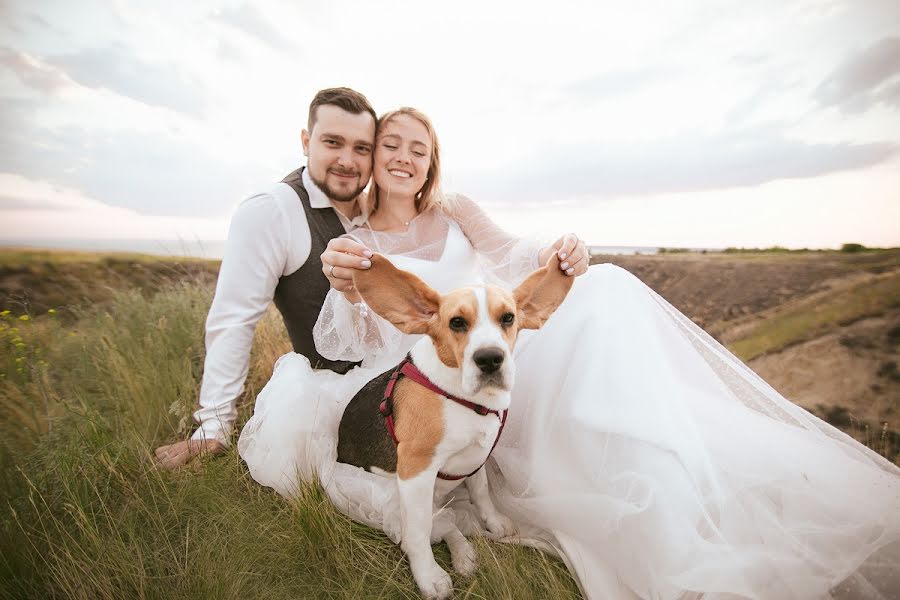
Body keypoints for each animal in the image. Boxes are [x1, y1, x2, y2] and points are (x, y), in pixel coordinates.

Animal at [334, 254, 572, 600]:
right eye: (457, 322)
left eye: (509, 318)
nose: (490, 359)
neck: (463, 397)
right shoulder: (416, 472)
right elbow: (418, 532)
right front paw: (428, 575)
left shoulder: (477, 458)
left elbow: (482, 493)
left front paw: (494, 522)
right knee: (435, 526)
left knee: (451, 523)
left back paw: (464, 555)